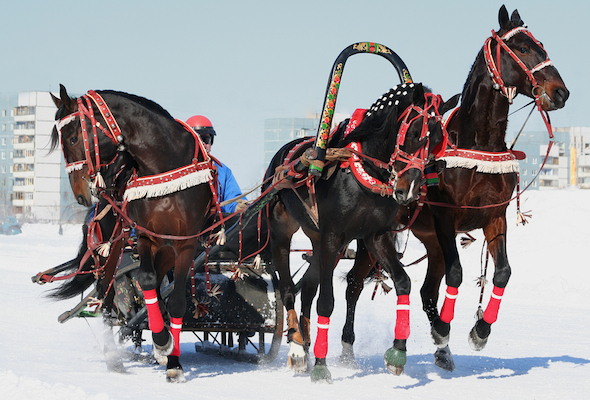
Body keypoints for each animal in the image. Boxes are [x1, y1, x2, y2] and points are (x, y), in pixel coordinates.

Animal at [50, 85, 214, 382]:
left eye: (72, 138)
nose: (80, 194)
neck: (164, 165)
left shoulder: (185, 243)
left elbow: (176, 301)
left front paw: (173, 361)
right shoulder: (146, 236)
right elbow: (146, 279)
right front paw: (161, 341)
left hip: (163, 248)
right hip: (112, 243)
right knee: (106, 293)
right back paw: (113, 357)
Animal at [264, 83, 459, 382]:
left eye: (437, 140)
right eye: (415, 133)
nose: (408, 190)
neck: (363, 174)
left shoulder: (374, 236)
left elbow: (403, 282)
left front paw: (398, 351)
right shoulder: (333, 236)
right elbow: (326, 303)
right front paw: (321, 366)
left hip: (318, 241)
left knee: (307, 288)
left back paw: (305, 345)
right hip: (281, 232)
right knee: (287, 290)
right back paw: (297, 349)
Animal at [339, 5, 569, 372]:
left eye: (540, 45)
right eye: (520, 47)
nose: (560, 92)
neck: (476, 146)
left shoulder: (494, 217)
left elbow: (502, 273)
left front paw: (479, 331)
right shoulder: (446, 219)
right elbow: (457, 274)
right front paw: (445, 330)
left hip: (429, 241)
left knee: (426, 291)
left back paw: (440, 342)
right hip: (373, 235)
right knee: (354, 284)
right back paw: (349, 349)